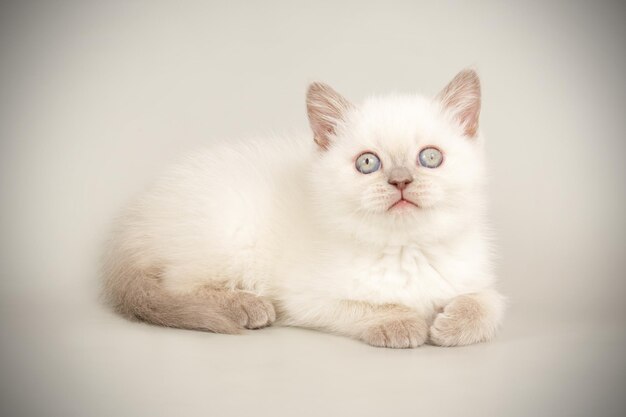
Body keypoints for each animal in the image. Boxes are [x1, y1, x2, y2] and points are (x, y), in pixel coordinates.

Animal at [101, 69, 502, 348]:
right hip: (226, 236)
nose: (400, 181)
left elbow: (488, 304)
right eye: (367, 163)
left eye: (430, 157)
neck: (405, 248)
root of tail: (139, 213)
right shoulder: (307, 299)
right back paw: (246, 306)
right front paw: (402, 323)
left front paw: (452, 325)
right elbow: (369, 306)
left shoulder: (477, 280)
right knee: (177, 285)